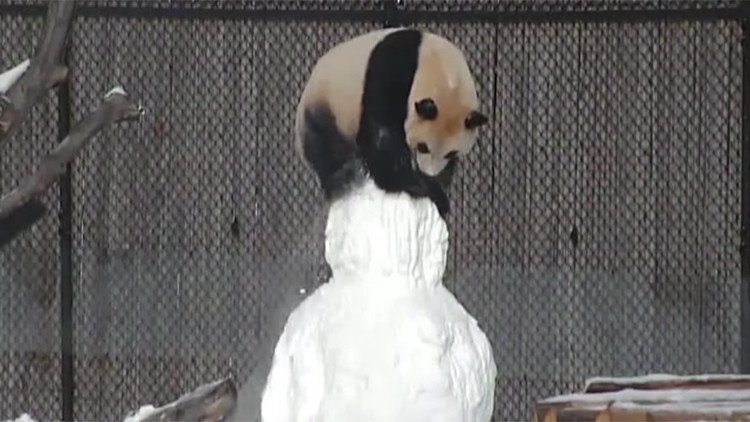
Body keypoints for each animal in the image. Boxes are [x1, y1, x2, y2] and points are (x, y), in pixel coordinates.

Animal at [294, 27, 488, 217]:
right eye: (423, 147)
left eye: (451, 153)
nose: (429, 172)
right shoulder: (393, 69)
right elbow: (381, 134)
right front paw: (417, 186)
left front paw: (437, 184)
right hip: (326, 108)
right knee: (328, 150)